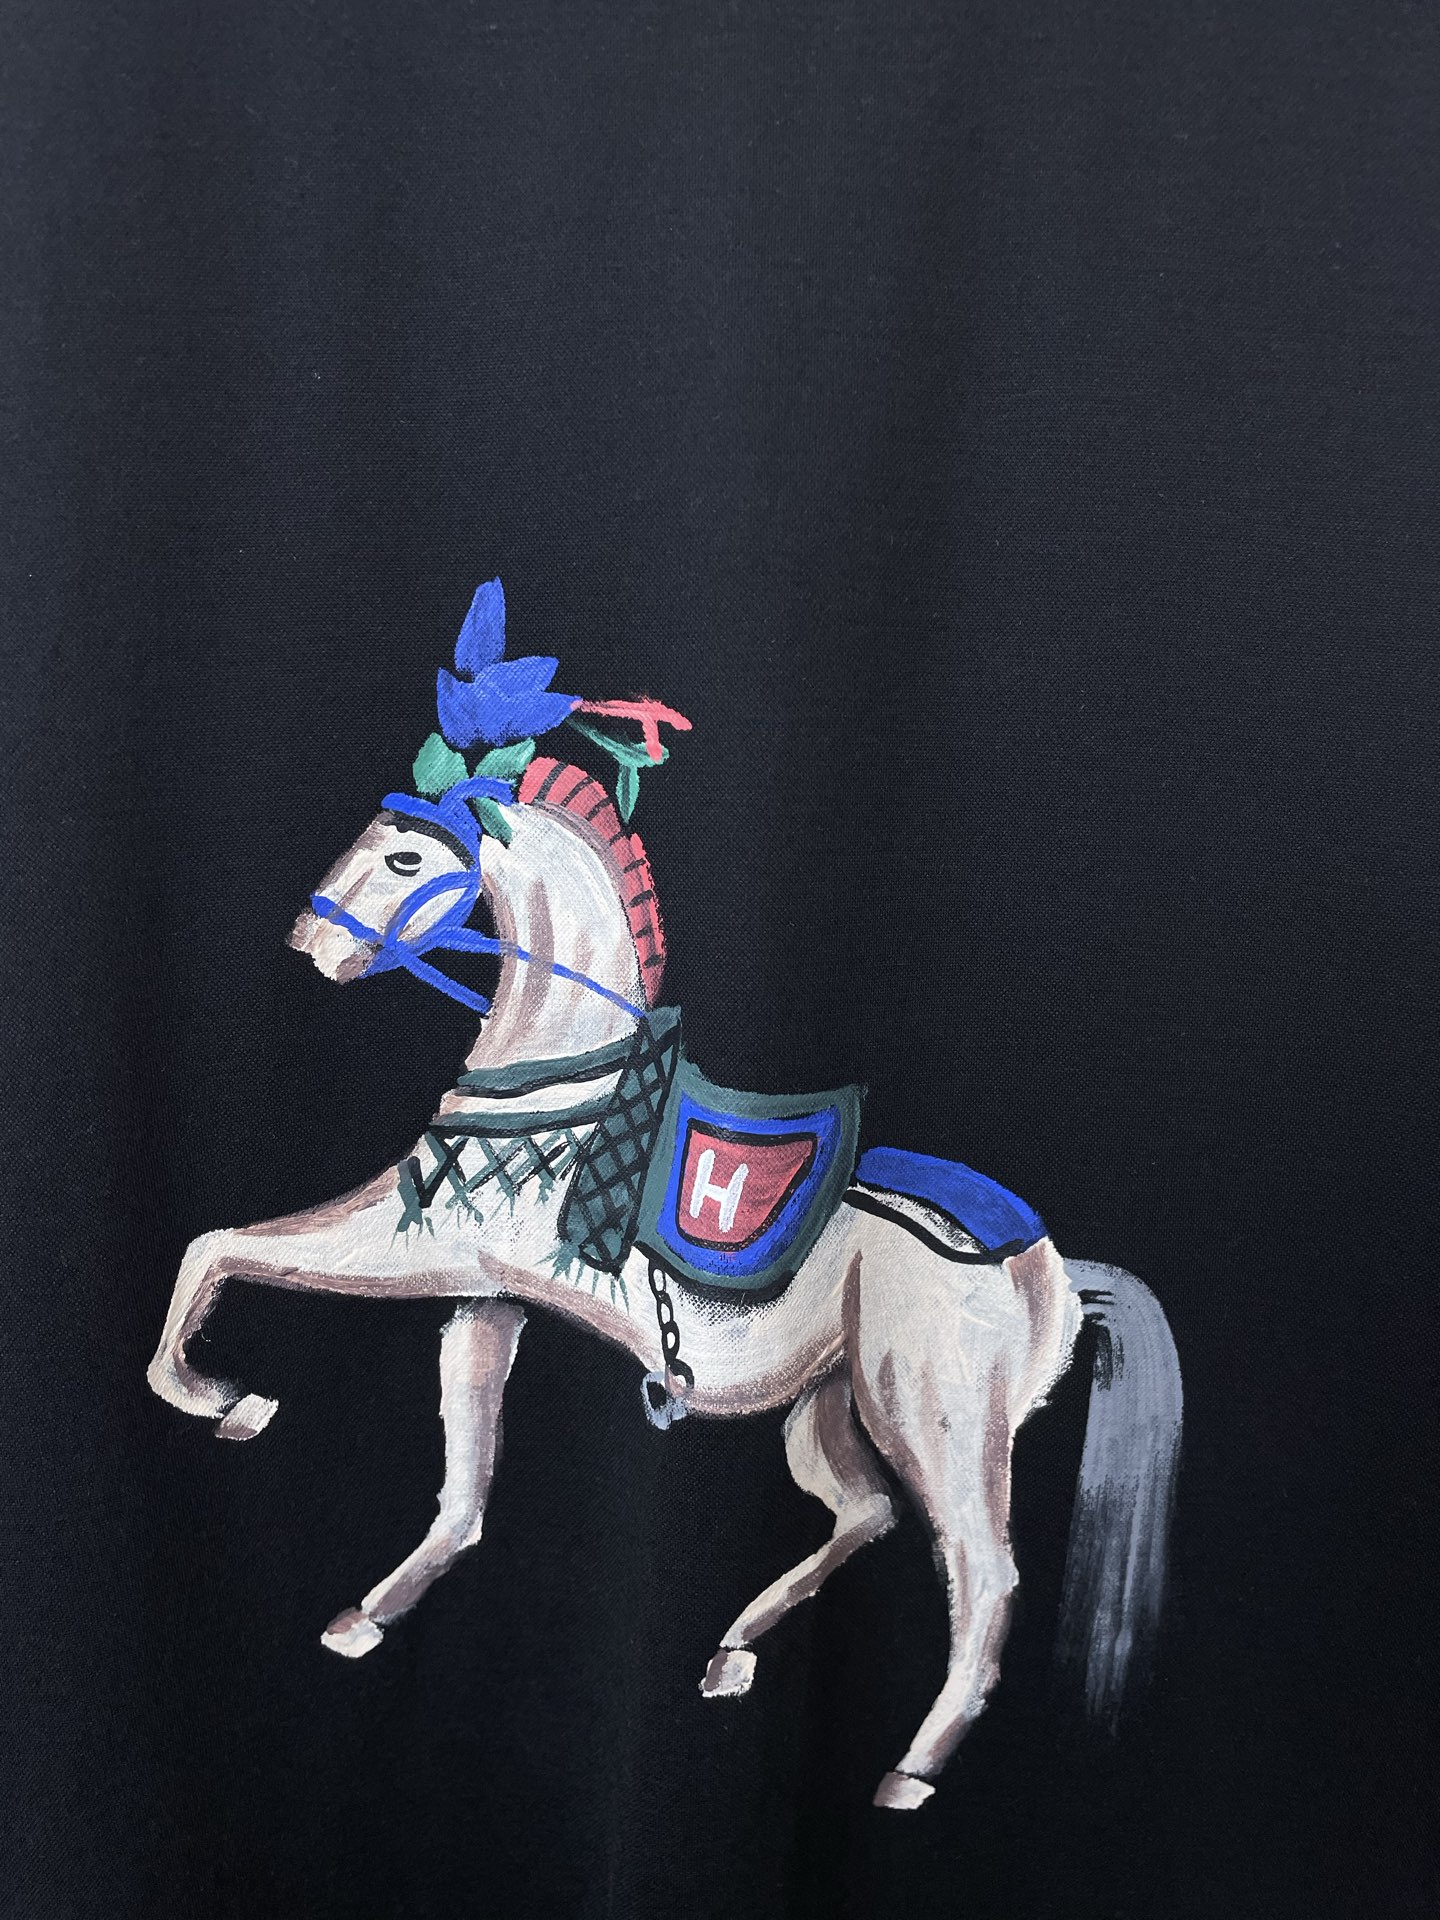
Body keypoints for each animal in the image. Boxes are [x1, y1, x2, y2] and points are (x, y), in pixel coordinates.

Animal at [148, 752, 1181, 1812]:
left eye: (405, 856)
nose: (309, 939)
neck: (567, 1073)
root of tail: (1048, 1267)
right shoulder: (488, 1301)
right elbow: (465, 1483)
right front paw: (372, 1611)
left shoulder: (416, 1246)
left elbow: (216, 1248)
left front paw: (227, 1401)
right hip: (829, 1410)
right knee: (868, 1513)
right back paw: (734, 1650)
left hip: (934, 1420)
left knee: (981, 1575)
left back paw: (910, 1768)